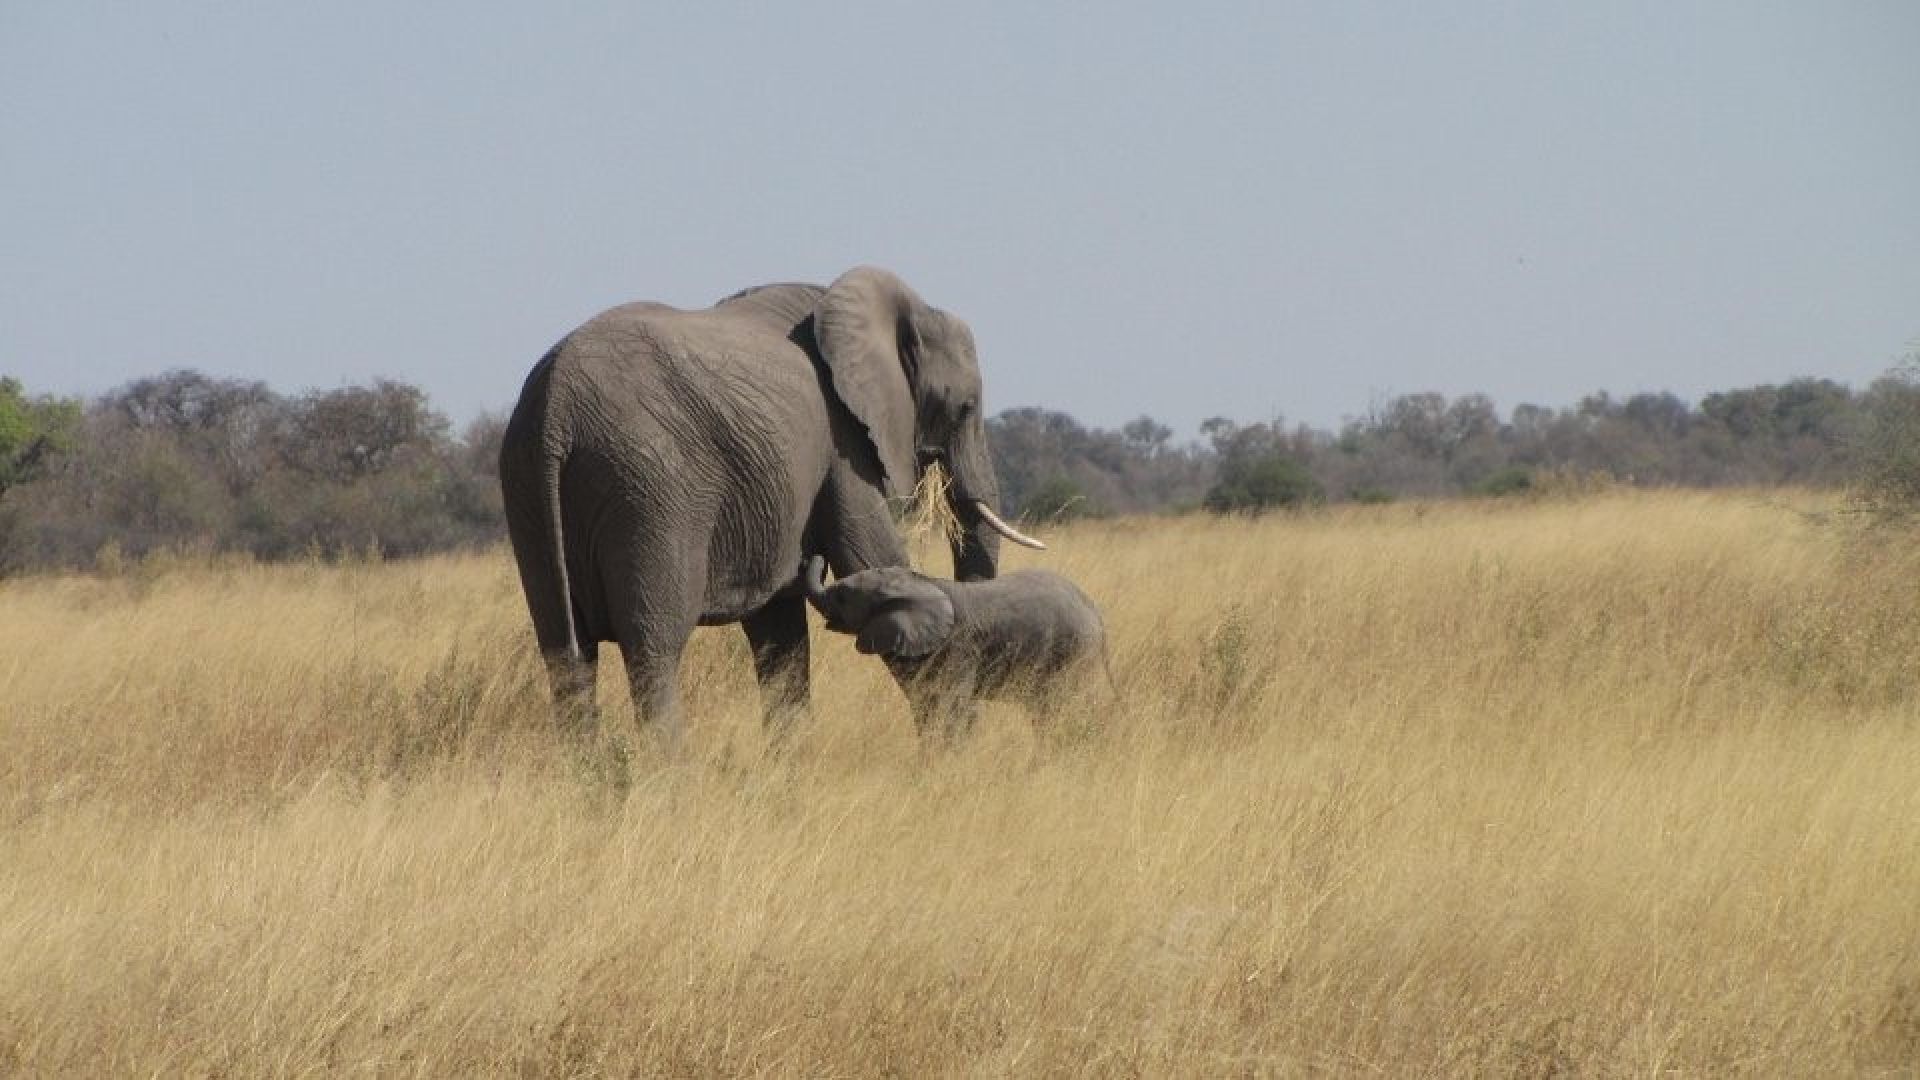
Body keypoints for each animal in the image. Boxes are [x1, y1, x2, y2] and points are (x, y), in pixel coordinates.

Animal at [495, 267, 1036, 749]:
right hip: (649, 491)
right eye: (965, 408)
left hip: (527, 491)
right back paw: (670, 779)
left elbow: (779, 629)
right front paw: (954, 746)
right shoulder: (842, 443)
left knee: (566, 653)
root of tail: (555, 408)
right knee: (653, 647)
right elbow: (869, 557)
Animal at [802, 553, 1113, 737]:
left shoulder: (958, 646)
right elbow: (928, 703)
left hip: (1072, 651)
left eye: (842, 596)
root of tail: (1095, 612)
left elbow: (949, 706)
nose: (813, 556)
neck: (926, 583)